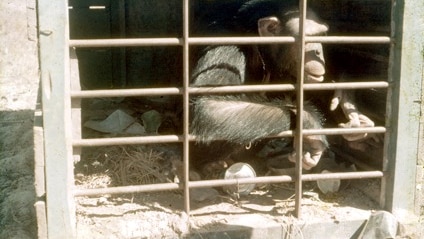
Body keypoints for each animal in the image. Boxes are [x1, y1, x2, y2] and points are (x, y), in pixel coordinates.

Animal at [190, 0, 332, 172]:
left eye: (321, 36)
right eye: (308, 38)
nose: (318, 52)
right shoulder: (224, 46)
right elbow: (209, 105)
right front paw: (310, 124)